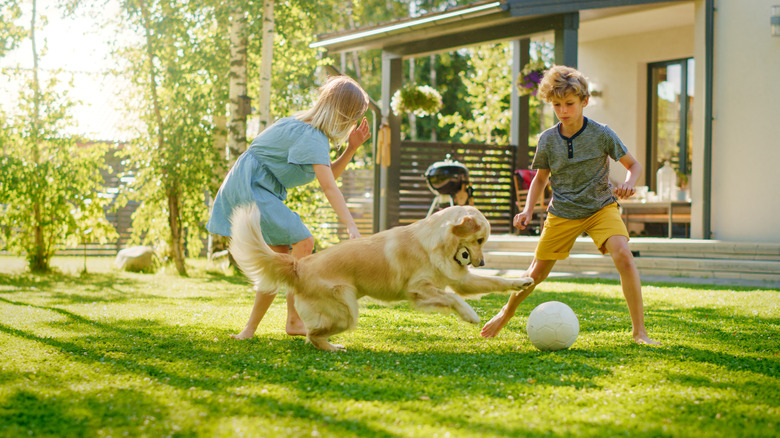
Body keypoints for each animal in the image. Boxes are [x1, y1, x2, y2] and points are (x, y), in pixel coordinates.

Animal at [230, 204, 536, 350]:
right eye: (480, 239)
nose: (482, 261)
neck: (436, 243)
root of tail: (299, 265)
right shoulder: (418, 289)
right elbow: (452, 298)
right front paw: (470, 314)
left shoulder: (458, 280)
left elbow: (494, 282)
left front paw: (521, 281)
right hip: (347, 310)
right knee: (312, 334)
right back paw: (332, 348)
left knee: (311, 334)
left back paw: (332, 346)